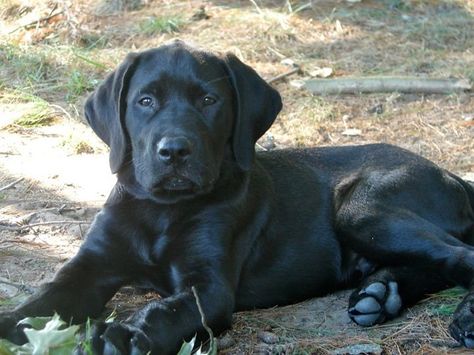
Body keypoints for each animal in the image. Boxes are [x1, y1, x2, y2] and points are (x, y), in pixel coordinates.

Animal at [0, 40, 474, 354]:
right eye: (145, 101)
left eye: (209, 100)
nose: (174, 151)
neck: (160, 212)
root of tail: (451, 173)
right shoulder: (89, 266)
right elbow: (43, 301)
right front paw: (10, 323)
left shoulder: (209, 286)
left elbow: (168, 311)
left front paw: (127, 334)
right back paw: (380, 293)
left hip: (363, 209)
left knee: (460, 256)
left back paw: (462, 318)